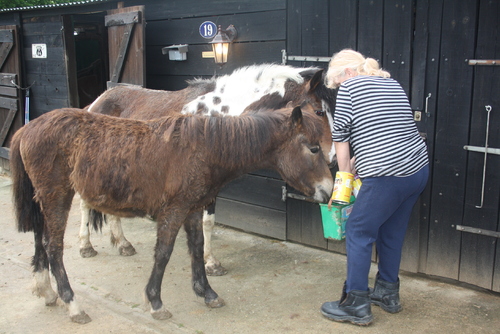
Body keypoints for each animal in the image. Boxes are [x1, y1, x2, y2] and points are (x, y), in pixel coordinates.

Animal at [9, 105, 334, 322]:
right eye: (313, 148)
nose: (329, 191)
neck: (205, 147)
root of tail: (27, 128)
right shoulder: (174, 210)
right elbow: (164, 253)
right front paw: (155, 302)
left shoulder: (192, 209)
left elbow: (197, 248)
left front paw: (207, 292)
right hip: (57, 196)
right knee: (53, 247)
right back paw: (73, 303)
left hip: (46, 199)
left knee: (41, 241)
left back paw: (46, 290)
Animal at [82, 63, 338, 276]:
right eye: (319, 111)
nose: (334, 157)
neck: (216, 116)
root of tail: (97, 100)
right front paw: (209, 264)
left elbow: (209, 222)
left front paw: (209, 261)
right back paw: (86, 246)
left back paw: (122, 243)